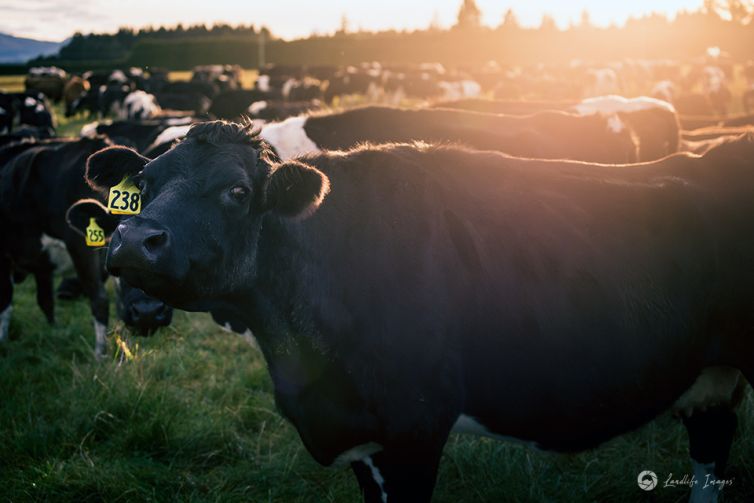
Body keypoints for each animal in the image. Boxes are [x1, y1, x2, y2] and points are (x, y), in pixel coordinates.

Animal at [85, 121, 752, 503]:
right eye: (144, 184)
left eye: (237, 190)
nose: (133, 240)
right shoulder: (360, 438)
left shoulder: (415, 428)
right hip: (710, 379)